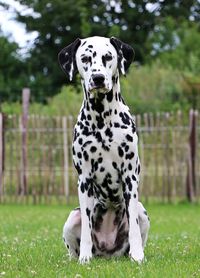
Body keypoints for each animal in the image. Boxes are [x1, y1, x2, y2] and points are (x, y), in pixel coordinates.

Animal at [58, 35, 149, 264]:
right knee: (74, 245)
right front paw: (84, 257)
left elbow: (134, 228)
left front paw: (138, 256)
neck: (102, 120)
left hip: (143, 211)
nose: (98, 78)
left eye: (108, 57)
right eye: (85, 58)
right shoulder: (84, 179)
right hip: (72, 217)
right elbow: (86, 228)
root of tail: (107, 253)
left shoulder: (130, 176)